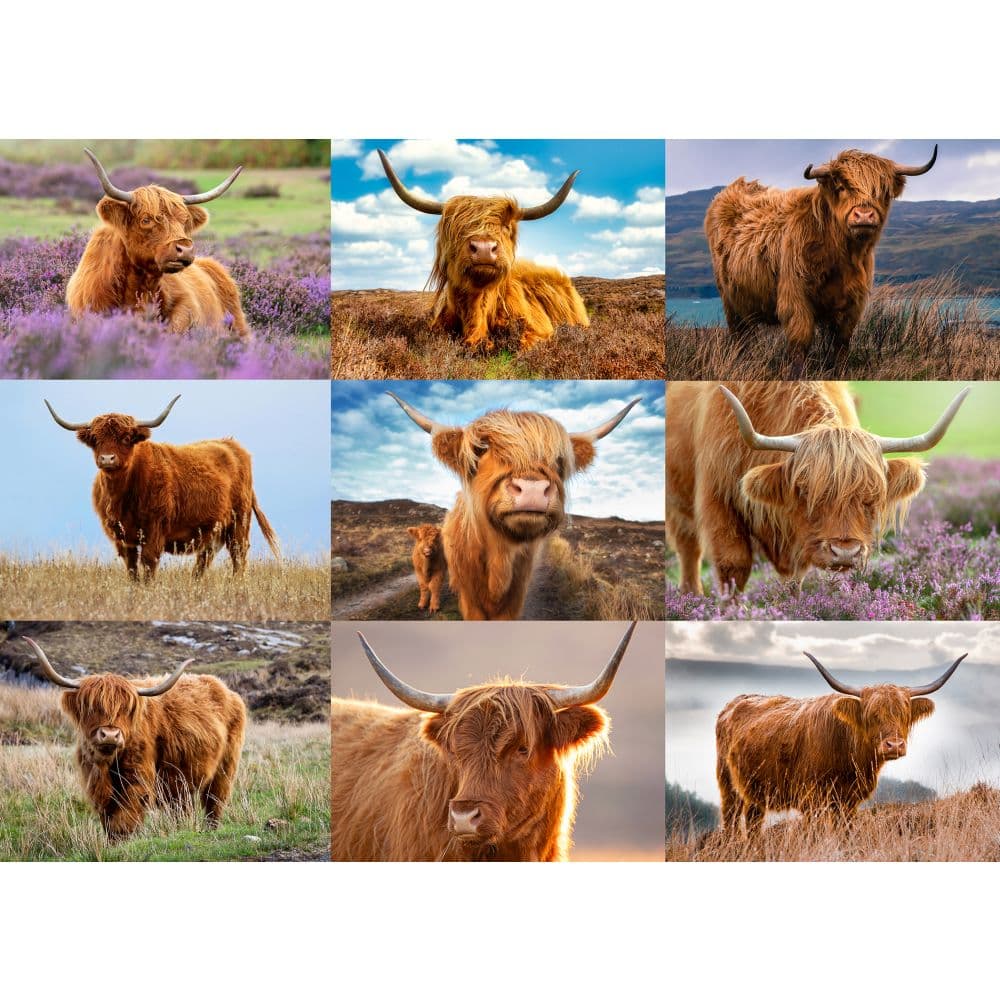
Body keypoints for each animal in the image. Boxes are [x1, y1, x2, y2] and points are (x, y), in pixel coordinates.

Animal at [24, 637, 246, 841]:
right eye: (92, 707)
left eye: (126, 708)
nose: (110, 735)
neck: (107, 764)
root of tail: (227, 690)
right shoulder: (95, 782)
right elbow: (108, 817)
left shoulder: (137, 776)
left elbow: (125, 814)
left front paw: (123, 840)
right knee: (182, 807)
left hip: (225, 768)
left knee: (214, 801)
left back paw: (210, 829)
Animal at [44, 394, 280, 581]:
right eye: (95, 439)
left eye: (126, 438)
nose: (107, 459)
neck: (122, 495)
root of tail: (231, 445)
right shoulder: (124, 538)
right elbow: (132, 568)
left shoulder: (154, 528)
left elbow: (148, 563)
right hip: (214, 529)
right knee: (205, 557)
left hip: (239, 521)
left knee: (238, 555)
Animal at [665, 381, 968, 594]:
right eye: (806, 492)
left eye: (871, 497)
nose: (845, 552)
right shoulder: (718, 499)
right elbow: (733, 566)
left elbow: (794, 578)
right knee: (688, 549)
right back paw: (691, 595)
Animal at [704, 145, 938, 371]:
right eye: (842, 187)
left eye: (883, 191)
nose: (864, 215)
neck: (841, 257)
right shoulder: (796, 298)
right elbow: (800, 345)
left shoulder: (853, 304)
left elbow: (841, 344)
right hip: (731, 302)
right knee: (740, 337)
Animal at [716, 650, 966, 835]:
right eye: (872, 715)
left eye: (904, 715)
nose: (894, 746)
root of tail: (733, 702)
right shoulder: (812, 799)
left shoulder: (849, 802)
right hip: (728, 783)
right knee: (731, 819)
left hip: (754, 791)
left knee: (753, 822)